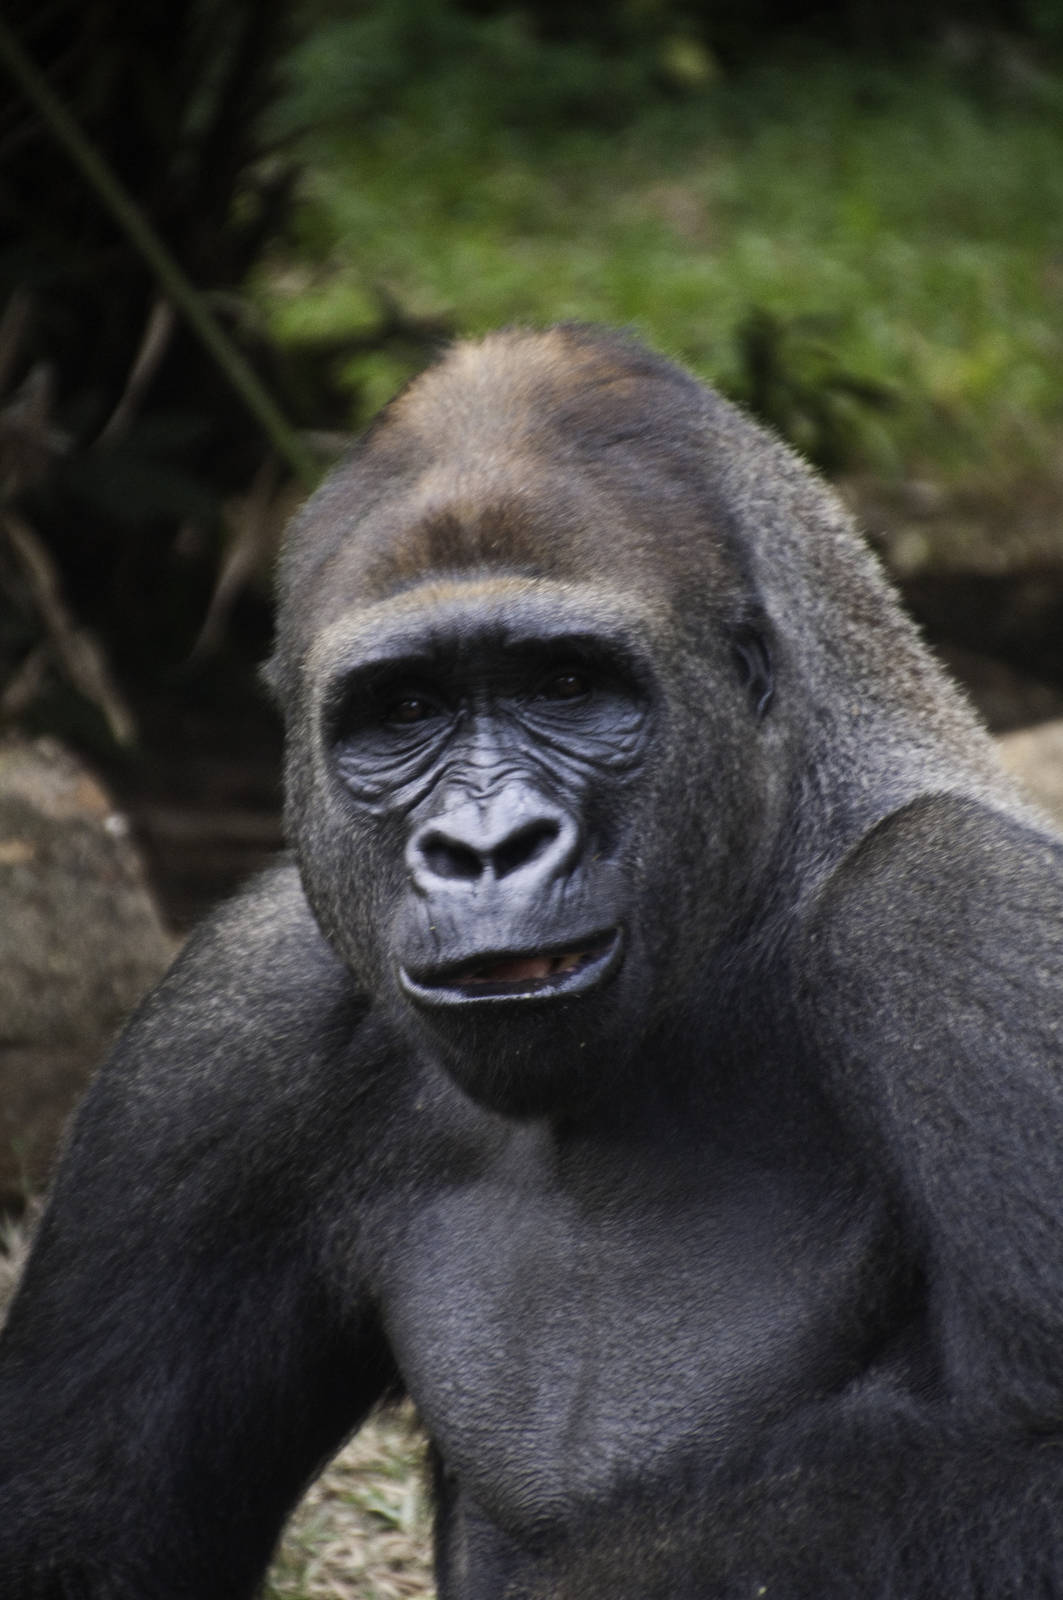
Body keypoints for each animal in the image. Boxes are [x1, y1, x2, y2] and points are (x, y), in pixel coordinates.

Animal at [2, 324, 1063, 1599]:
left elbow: (1030, 1476)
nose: (485, 847)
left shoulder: (952, 908)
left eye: (566, 684)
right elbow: (77, 1528)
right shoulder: (226, 1021)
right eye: (403, 708)